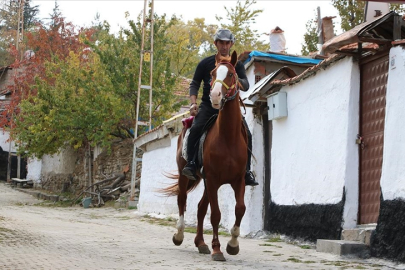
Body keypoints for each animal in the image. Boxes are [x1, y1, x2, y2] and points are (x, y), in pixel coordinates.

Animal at [163, 50, 245, 262]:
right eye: (212, 74)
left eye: (231, 74)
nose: (215, 96)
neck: (228, 136)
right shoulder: (213, 179)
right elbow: (215, 214)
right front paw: (218, 249)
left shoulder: (238, 180)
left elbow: (240, 209)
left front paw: (233, 245)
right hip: (186, 175)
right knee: (182, 200)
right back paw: (179, 235)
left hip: (207, 183)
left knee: (200, 208)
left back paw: (201, 243)